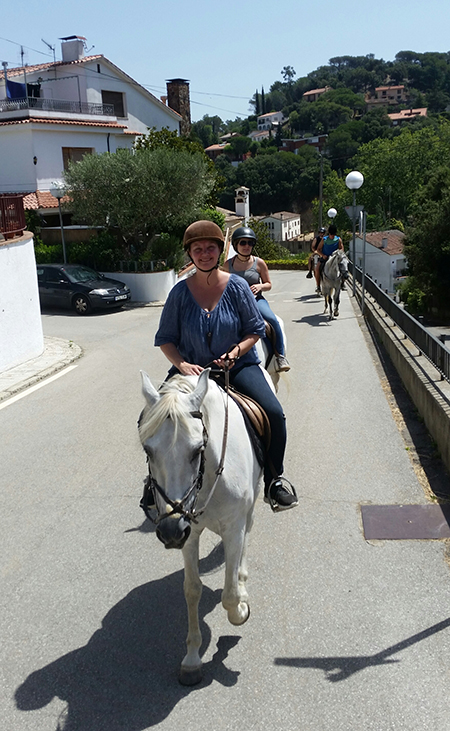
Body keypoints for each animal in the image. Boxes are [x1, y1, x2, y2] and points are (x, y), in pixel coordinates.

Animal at [139, 372, 262, 688]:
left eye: (197, 450)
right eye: (147, 449)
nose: (170, 531)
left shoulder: (233, 528)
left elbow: (229, 595)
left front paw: (241, 609)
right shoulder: (189, 533)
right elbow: (192, 589)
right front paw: (192, 659)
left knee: (247, 537)